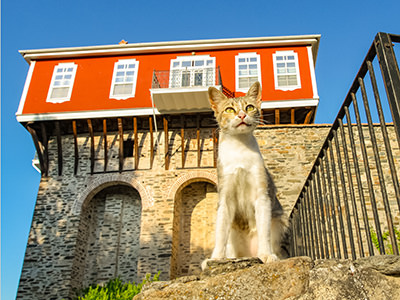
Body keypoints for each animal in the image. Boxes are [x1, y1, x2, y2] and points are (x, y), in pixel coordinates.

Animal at [205, 81, 286, 268]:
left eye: (249, 107)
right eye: (229, 109)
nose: (242, 115)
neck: (240, 148)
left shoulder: (262, 194)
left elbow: (264, 230)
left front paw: (266, 254)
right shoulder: (225, 196)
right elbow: (220, 232)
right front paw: (215, 258)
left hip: (278, 222)